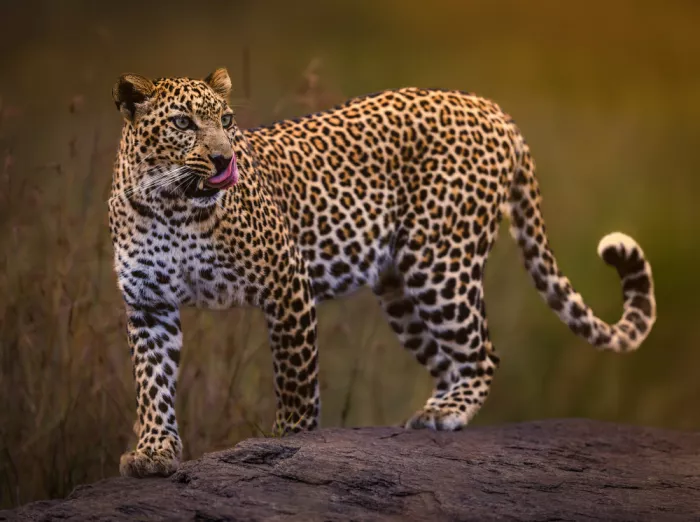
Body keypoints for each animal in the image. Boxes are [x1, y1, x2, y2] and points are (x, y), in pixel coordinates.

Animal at [108, 68, 657, 478]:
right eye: (184, 122)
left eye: (225, 120)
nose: (225, 158)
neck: (170, 203)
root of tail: (491, 108)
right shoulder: (149, 304)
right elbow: (152, 384)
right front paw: (154, 451)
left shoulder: (286, 283)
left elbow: (295, 380)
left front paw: (287, 443)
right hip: (400, 288)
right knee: (447, 360)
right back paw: (431, 414)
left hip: (437, 260)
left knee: (482, 353)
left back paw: (445, 414)